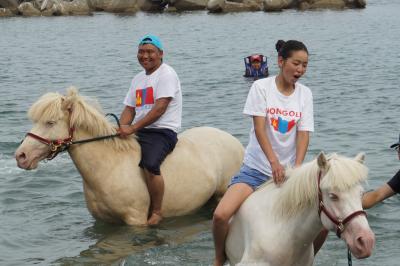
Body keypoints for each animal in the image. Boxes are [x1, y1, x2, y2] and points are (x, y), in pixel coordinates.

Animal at [15, 88, 244, 225]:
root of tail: (234, 141)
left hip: (222, 195)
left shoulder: (135, 220)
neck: (109, 167)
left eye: (50, 122)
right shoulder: (103, 221)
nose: (21, 156)